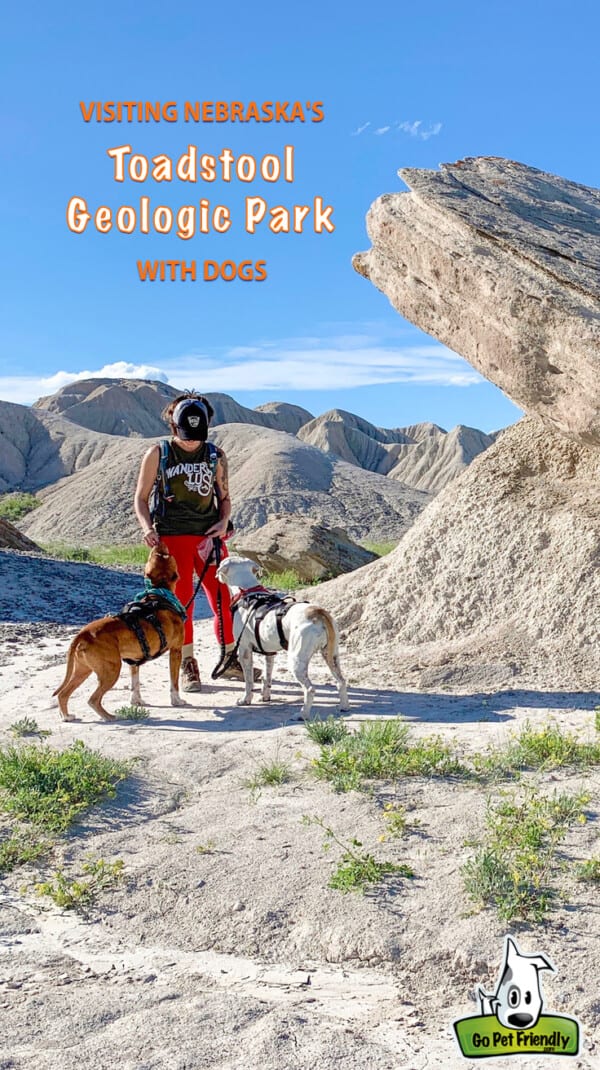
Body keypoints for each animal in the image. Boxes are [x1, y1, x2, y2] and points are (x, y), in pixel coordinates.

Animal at [53, 547, 186, 723]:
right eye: (165, 555)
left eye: (154, 555)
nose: (157, 543)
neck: (159, 593)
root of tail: (84, 633)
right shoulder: (176, 651)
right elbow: (174, 682)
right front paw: (177, 700)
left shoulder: (135, 660)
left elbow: (135, 684)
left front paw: (137, 701)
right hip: (111, 670)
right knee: (93, 699)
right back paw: (108, 716)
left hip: (82, 671)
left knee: (63, 694)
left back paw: (67, 716)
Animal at [216, 552, 348, 719]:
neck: (247, 592)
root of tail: (317, 612)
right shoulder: (269, 653)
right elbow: (267, 676)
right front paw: (265, 696)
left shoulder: (244, 651)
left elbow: (249, 681)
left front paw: (246, 699)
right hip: (332, 656)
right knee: (341, 681)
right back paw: (344, 706)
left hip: (296, 661)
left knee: (310, 689)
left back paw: (302, 714)